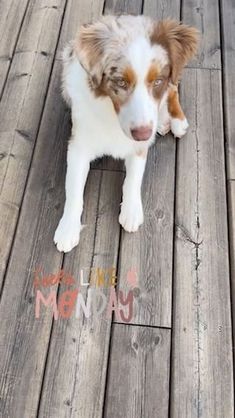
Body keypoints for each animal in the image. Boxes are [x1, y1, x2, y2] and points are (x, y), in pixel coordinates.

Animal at [54, 15, 198, 251]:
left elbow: (133, 178)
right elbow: (73, 188)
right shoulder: (78, 146)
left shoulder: (139, 146)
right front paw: (67, 229)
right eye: (120, 81)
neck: (113, 116)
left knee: (174, 88)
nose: (144, 134)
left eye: (157, 81)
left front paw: (131, 211)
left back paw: (175, 120)